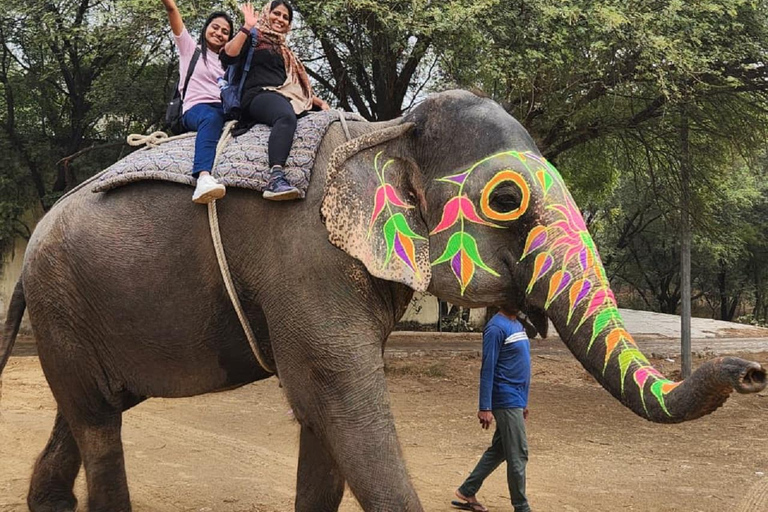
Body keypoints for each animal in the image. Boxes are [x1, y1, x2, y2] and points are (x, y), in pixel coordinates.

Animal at [0, 89, 765, 512]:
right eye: (508, 199)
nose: (751, 372)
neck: (385, 127)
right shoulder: (302, 259)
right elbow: (339, 401)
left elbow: (322, 421)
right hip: (63, 301)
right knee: (99, 421)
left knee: (90, 409)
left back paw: (49, 504)